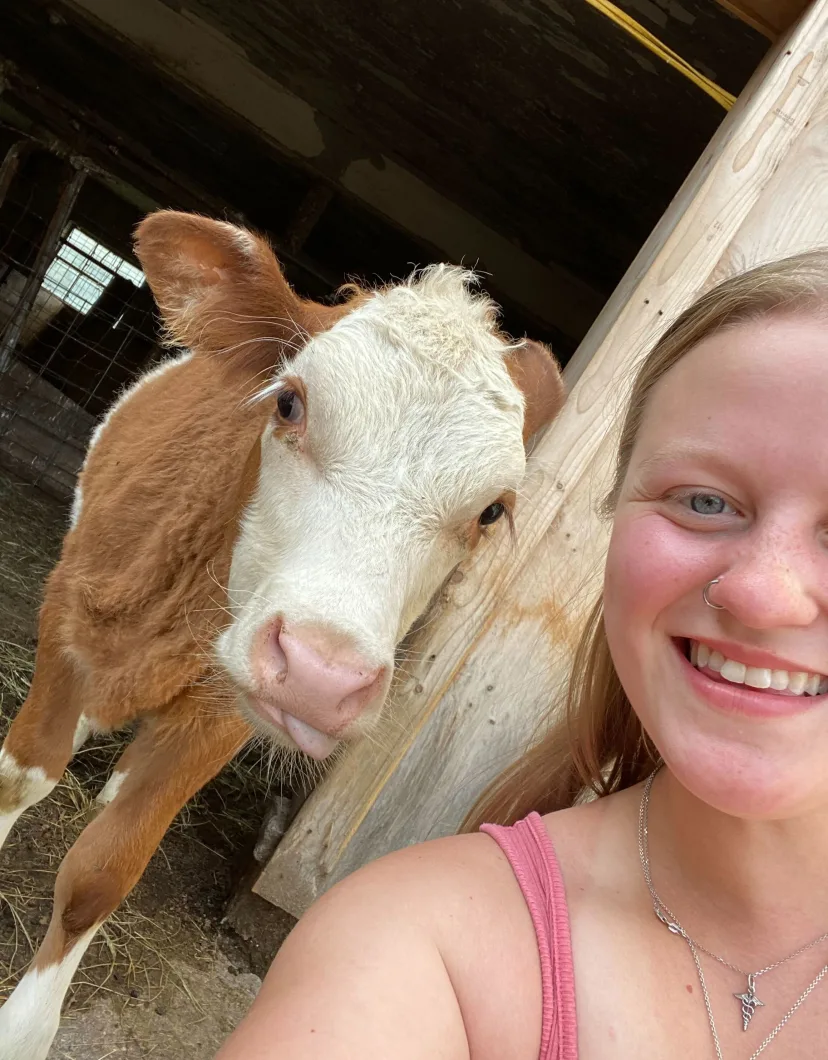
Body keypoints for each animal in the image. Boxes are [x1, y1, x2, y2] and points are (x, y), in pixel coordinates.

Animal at [0, 210, 564, 1055]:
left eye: (492, 510)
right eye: (289, 404)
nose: (321, 675)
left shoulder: (220, 718)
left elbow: (103, 870)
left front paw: (25, 1027)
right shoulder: (67, 622)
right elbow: (24, 774)